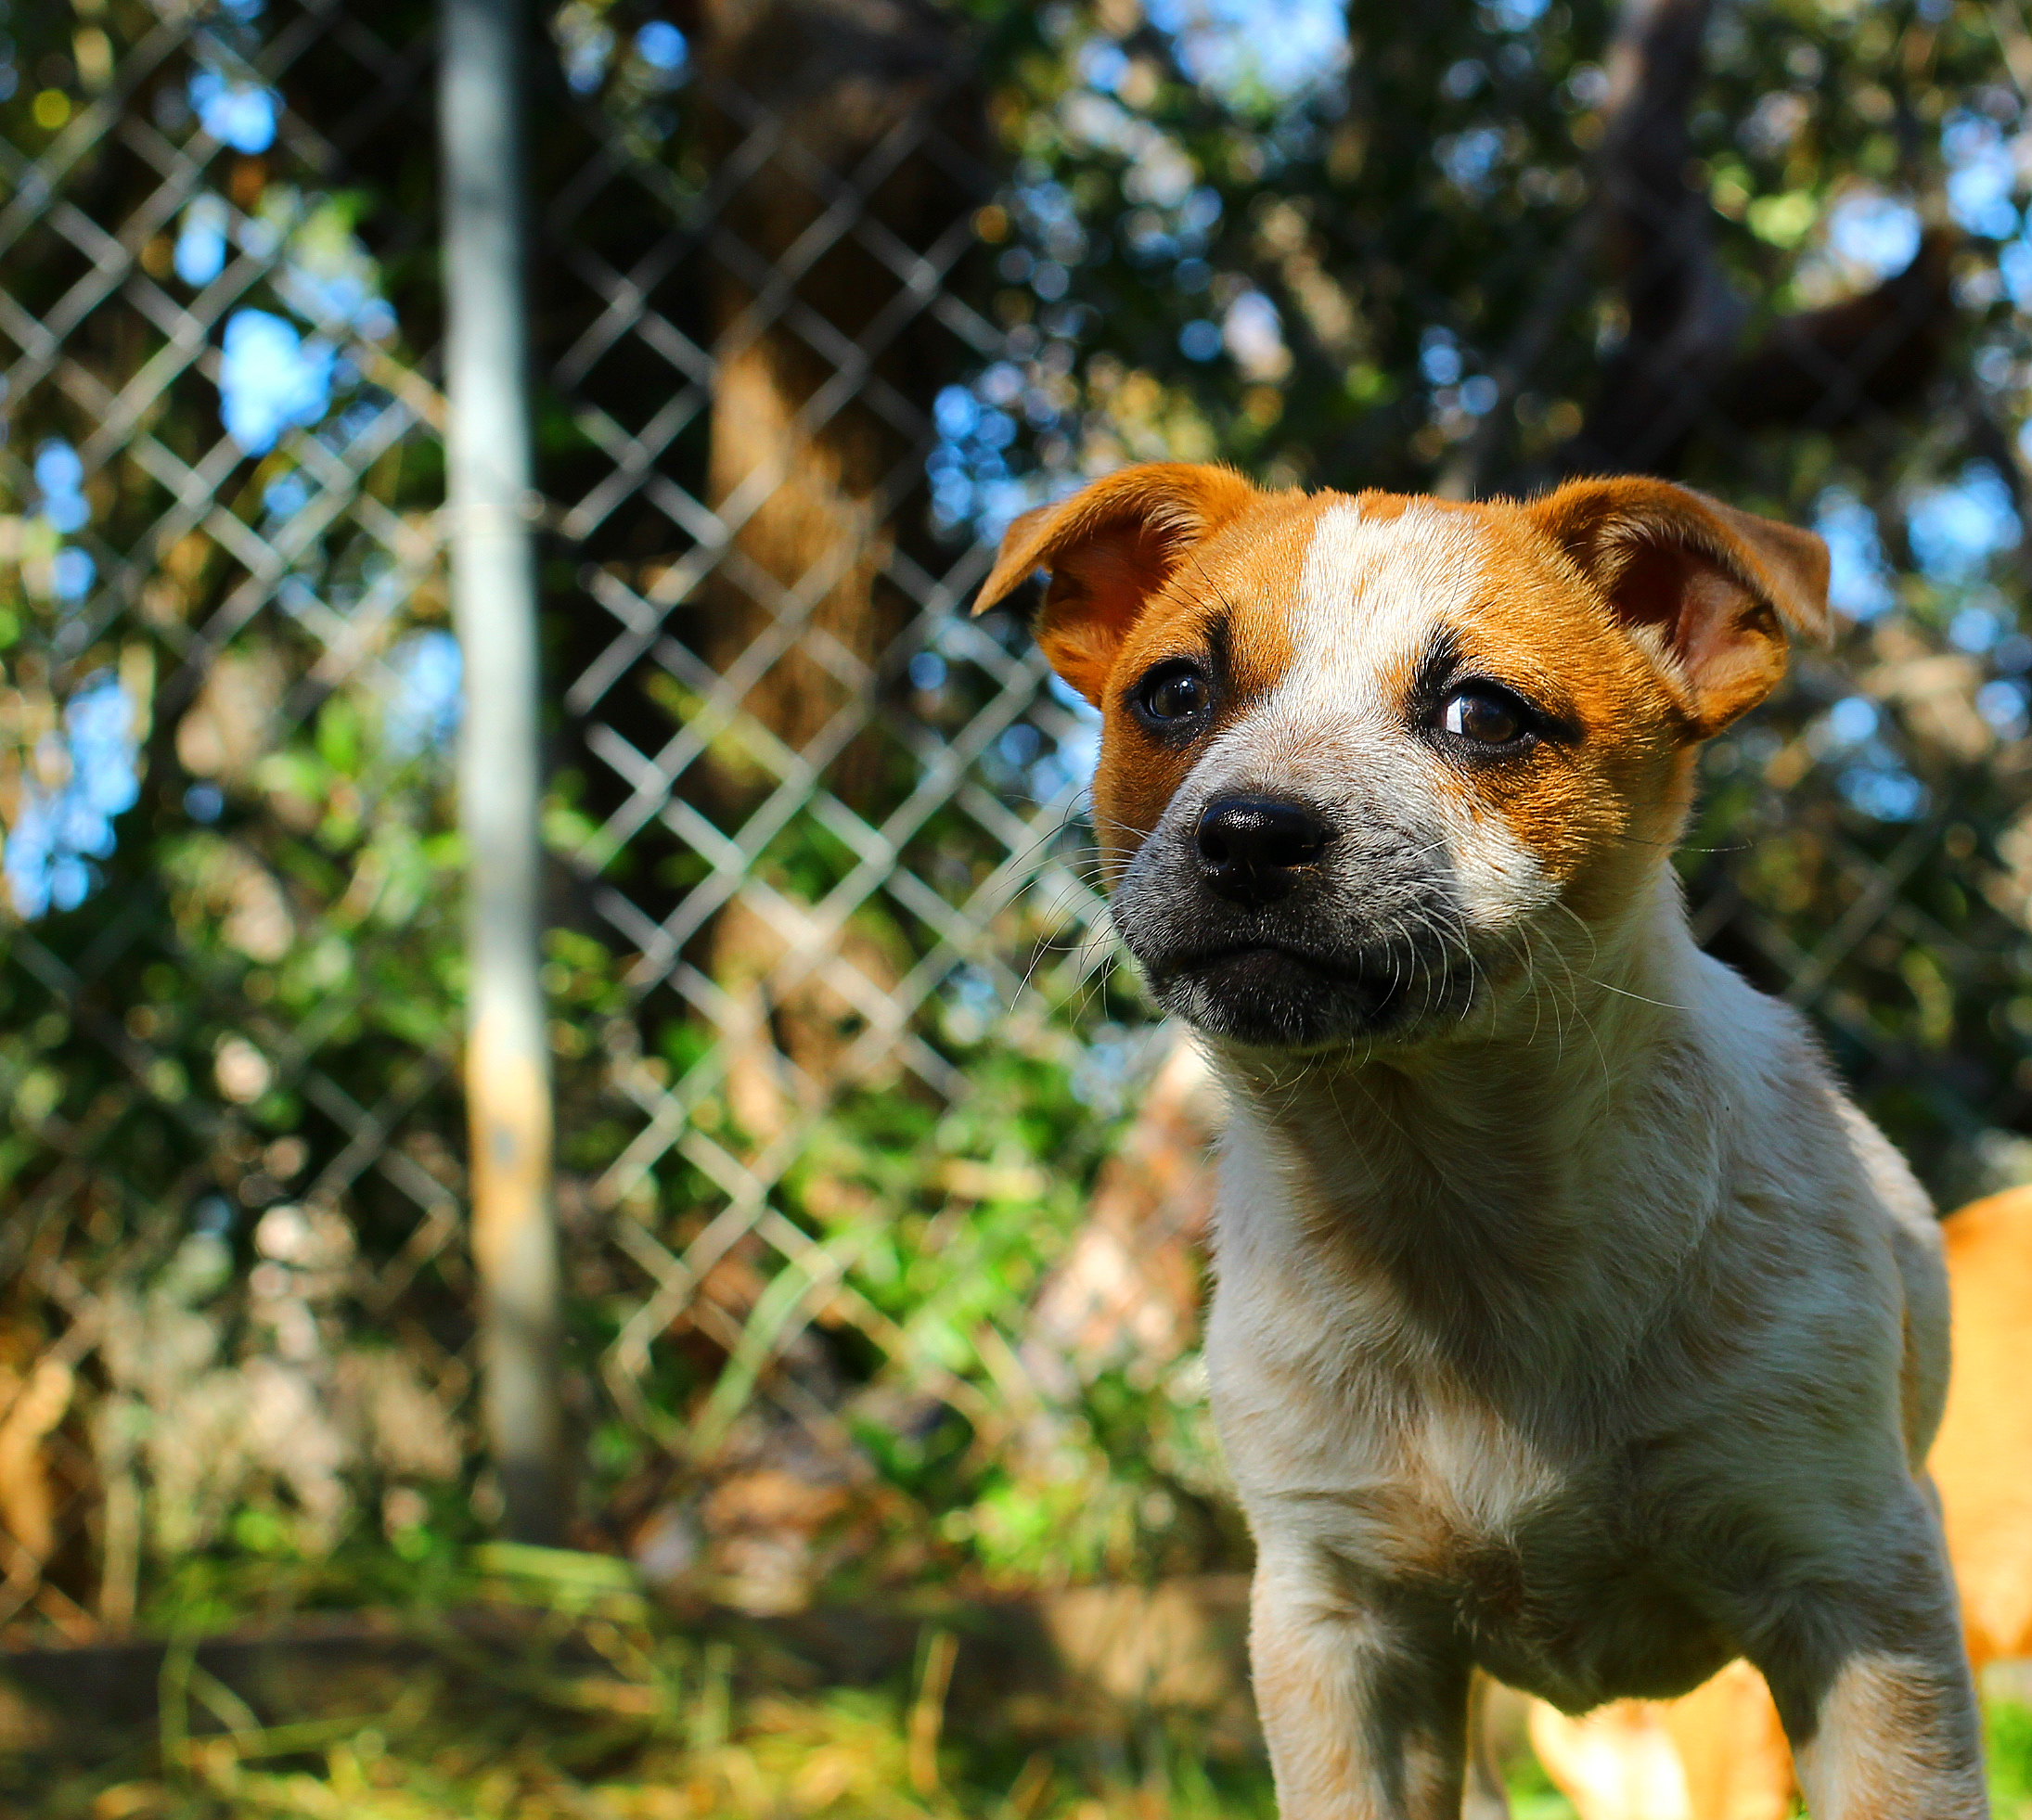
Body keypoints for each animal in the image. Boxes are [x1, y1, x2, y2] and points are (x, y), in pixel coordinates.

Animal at [975, 468, 1991, 1820]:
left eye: (1483, 714)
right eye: (1173, 694)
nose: (1247, 833)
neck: (1453, 1216)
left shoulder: (1858, 1594)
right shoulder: (1338, 1626)